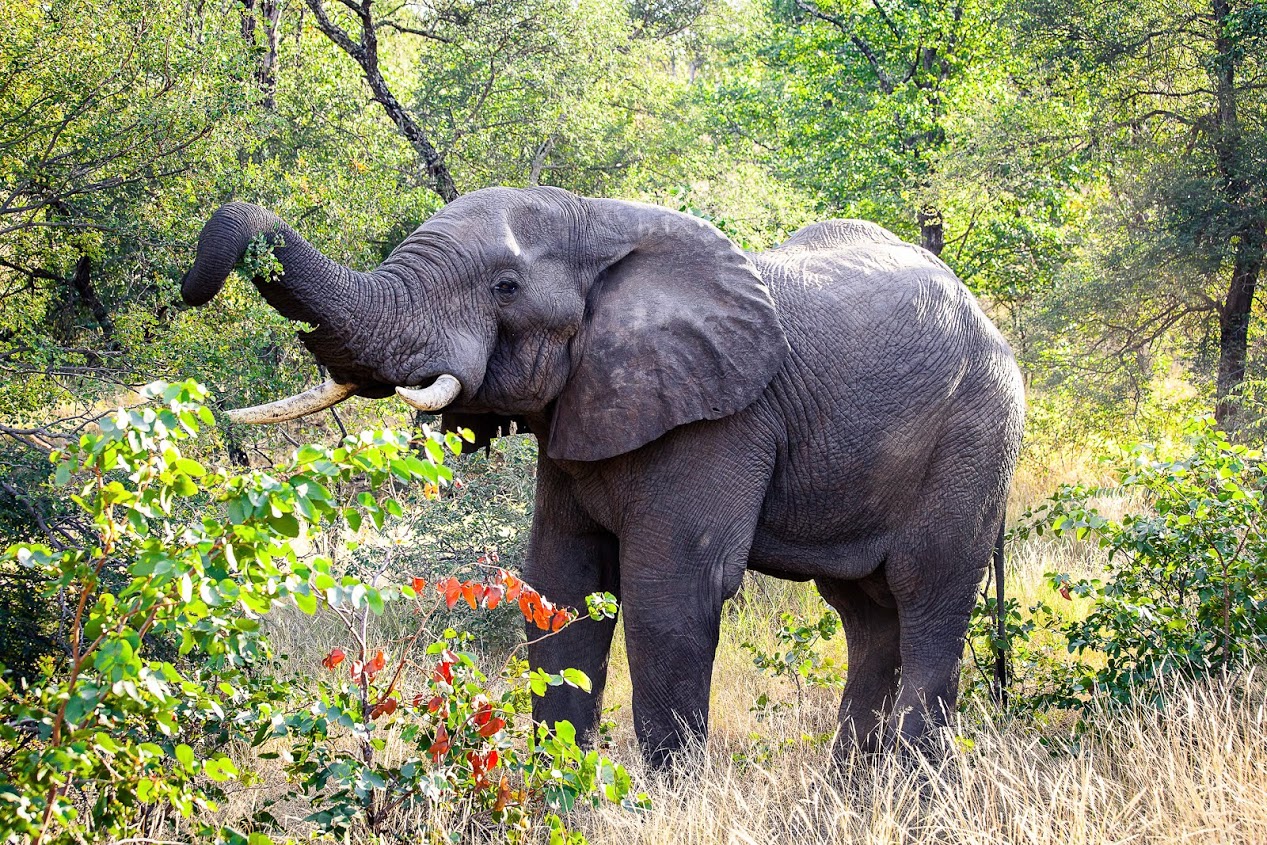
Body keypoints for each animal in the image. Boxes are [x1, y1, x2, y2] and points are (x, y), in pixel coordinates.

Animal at [180, 186, 1025, 767]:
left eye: (504, 288)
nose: (194, 282)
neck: (602, 223)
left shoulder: (720, 419)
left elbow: (668, 597)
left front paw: (670, 805)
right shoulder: (580, 416)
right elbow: (558, 587)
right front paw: (562, 793)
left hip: (975, 436)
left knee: (927, 597)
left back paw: (911, 794)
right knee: (866, 615)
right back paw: (847, 796)